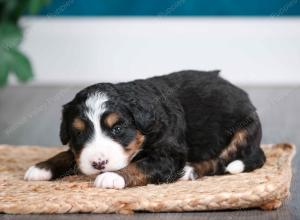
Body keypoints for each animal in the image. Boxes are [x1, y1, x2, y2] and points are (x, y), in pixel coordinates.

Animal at [24, 70, 266, 189]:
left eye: (117, 128)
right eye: (79, 132)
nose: (99, 164)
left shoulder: (168, 154)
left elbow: (141, 165)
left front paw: (112, 177)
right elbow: (68, 154)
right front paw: (42, 167)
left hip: (243, 131)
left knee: (222, 160)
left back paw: (190, 170)